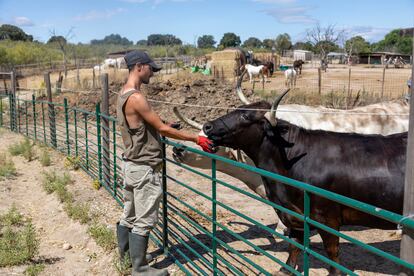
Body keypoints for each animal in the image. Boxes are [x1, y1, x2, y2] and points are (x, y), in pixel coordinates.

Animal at [202, 90, 406, 274]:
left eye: (245, 116)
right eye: (237, 109)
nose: (207, 126)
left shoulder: (327, 218)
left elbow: (331, 252)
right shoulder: (295, 215)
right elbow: (295, 244)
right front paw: (285, 269)